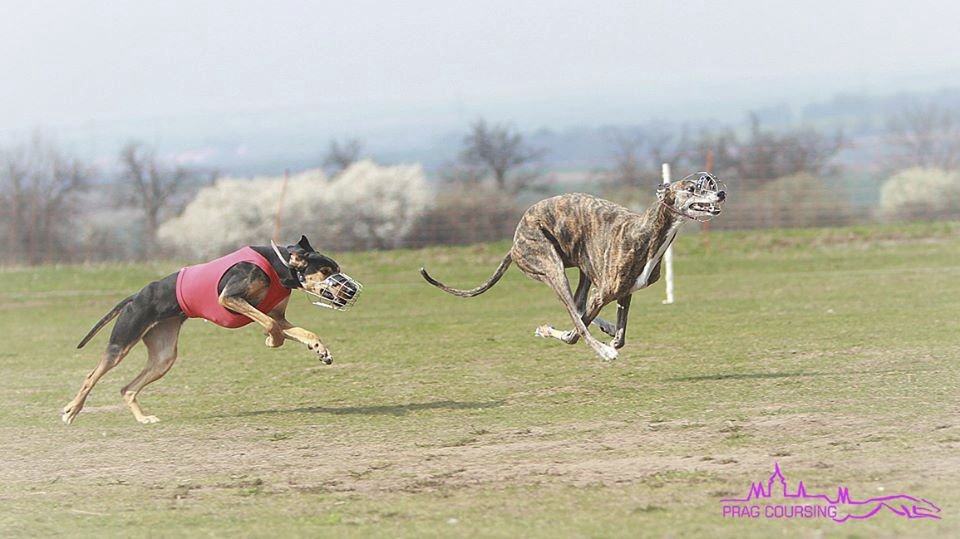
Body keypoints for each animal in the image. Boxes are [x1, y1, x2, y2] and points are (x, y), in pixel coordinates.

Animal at [62, 236, 360, 426]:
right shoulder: (229, 298)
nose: (352, 290)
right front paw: (271, 341)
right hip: (122, 342)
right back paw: (71, 410)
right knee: (91, 376)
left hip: (164, 356)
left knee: (127, 388)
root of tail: (136, 296)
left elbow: (304, 332)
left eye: (336, 269)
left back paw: (143, 418)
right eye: (325, 271)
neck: (280, 267)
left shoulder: (278, 315)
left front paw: (321, 351)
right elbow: (270, 325)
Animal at [418, 176, 720, 362]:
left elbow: (618, 335)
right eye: (691, 188)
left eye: (706, 185)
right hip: (552, 268)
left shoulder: (625, 292)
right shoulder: (605, 291)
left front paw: (611, 333)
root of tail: (514, 244)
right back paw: (590, 342)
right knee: (575, 312)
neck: (646, 230)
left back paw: (603, 326)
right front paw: (590, 344)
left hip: (581, 266)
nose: (722, 193)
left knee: (578, 305)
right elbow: (576, 332)